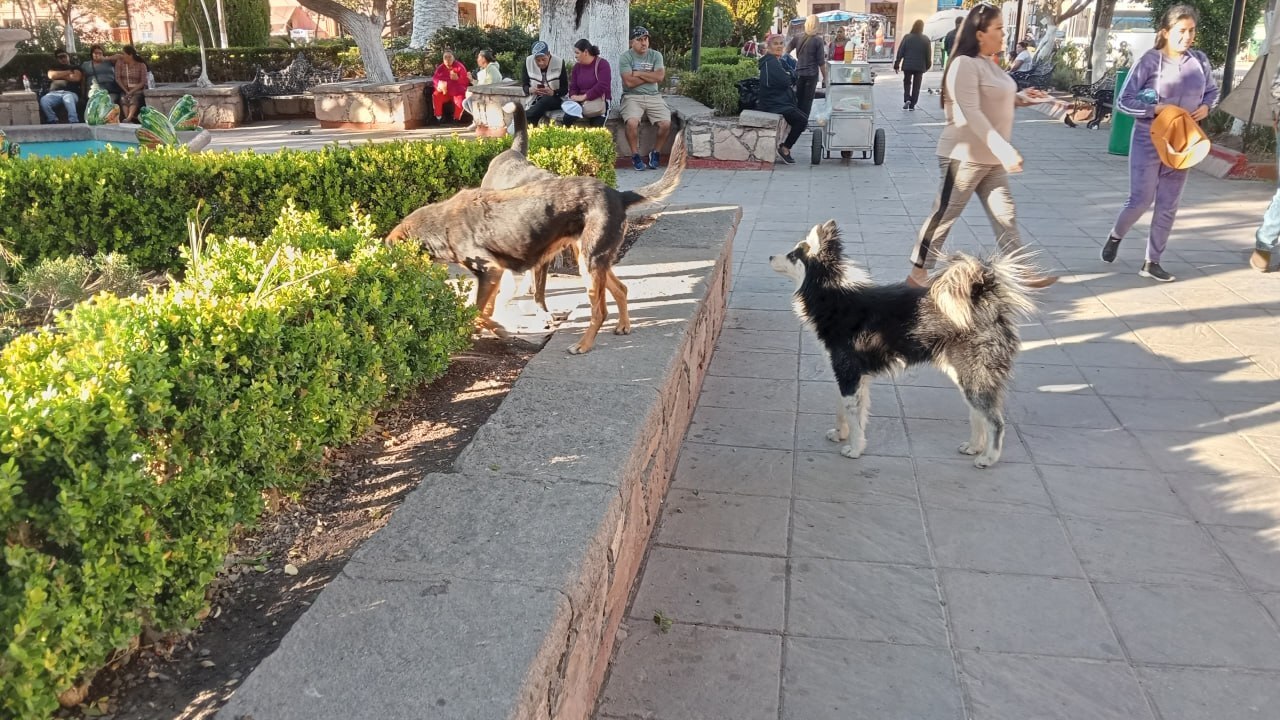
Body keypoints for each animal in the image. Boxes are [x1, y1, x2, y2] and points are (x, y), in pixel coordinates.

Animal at [386, 131, 686, 353]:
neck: (440, 225)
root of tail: (620, 195)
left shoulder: (491, 271)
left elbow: (475, 311)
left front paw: (494, 329)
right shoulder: (495, 275)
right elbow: (484, 308)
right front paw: (490, 328)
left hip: (589, 264)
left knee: (599, 311)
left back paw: (583, 345)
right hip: (590, 259)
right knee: (621, 289)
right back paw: (624, 325)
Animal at [773, 221, 1034, 468]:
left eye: (793, 255)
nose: (769, 257)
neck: (831, 294)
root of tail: (987, 301)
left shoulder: (848, 373)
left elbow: (853, 415)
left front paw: (855, 449)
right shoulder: (850, 376)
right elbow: (845, 411)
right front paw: (841, 434)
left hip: (975, 375)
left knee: (995, 421)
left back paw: (988, 457)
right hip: (965, 375)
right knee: (978, 414)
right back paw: (974, 446)